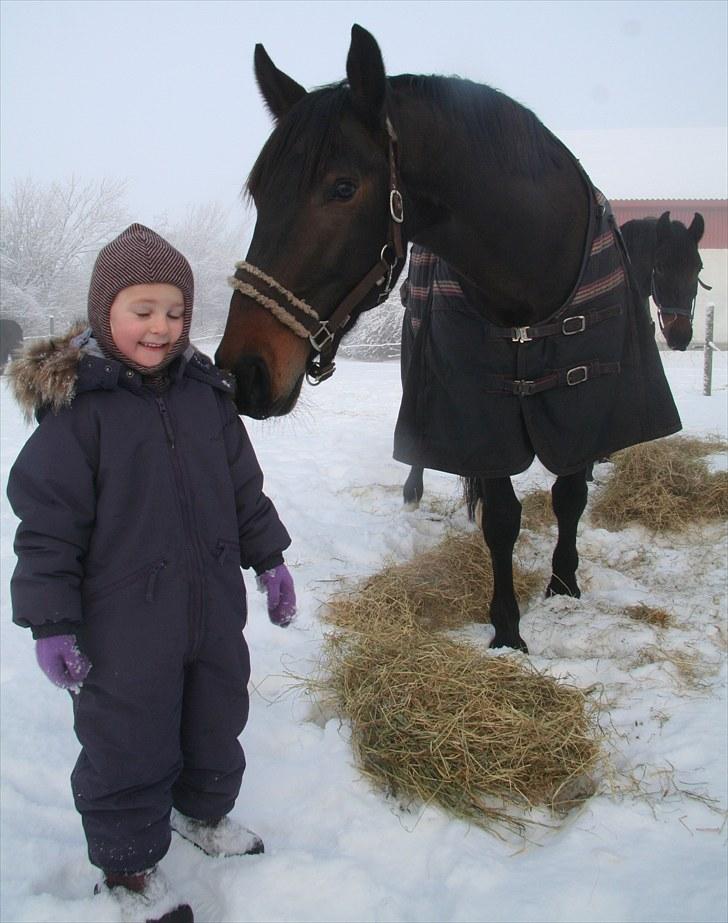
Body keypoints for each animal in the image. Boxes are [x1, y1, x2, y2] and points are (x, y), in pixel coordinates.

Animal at [216, 25, 684, 652]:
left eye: (343, 187)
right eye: (260, 192)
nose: (243, 371)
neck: (535, 272)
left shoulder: (586, 400)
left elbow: (570, 495)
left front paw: (563, 586)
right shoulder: (478, 407)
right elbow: (502, 517)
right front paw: (507, 628)